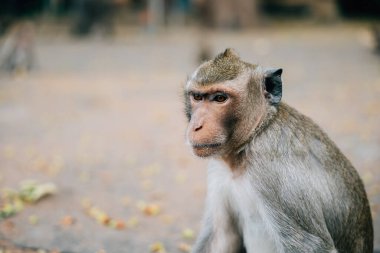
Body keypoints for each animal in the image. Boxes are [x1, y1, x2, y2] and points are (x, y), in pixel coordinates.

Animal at [184, 48, 374, 252]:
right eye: (197, 97)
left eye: (220, 98)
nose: (196, 126)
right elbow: (222, 237)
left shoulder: (273, 172)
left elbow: (312, 245)